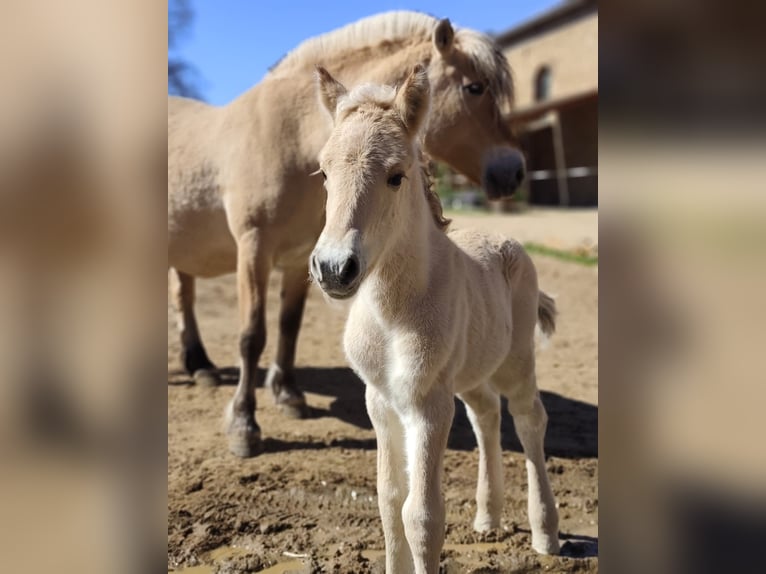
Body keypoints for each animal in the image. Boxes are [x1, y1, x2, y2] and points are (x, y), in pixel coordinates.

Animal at [168, 11, 525, 458]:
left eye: (396, 174)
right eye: (475, 87)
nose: (515, 170)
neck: (286, 134)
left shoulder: (301, 258)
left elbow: (288, 326)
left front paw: (288, 395)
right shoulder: (254, 250)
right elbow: (252, 335)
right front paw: (244, 426)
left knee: (183, 293)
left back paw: (200, 366)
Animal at [309, 65, 560, 573]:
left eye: (396, 176)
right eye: (324, 173)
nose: (333, 268)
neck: (392, 315)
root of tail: (507, 240)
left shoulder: (428, 404)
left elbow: (422, 515)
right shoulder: (381, 401)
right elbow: (389, 501)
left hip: (516, 361)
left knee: (528, 419)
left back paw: (546, 534)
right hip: (471, 372)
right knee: (486, 415)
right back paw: (487, 519)